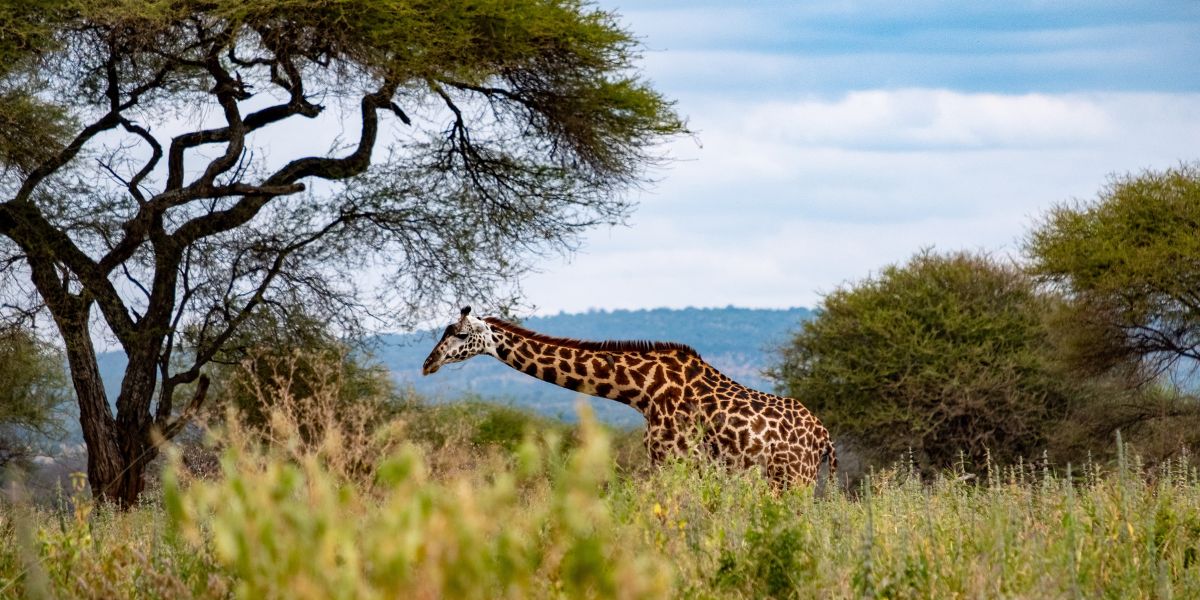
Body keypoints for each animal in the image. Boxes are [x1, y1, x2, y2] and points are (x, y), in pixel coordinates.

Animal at [421, 307, 836, 488]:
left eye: (460, 335)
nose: (428, 363)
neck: (642, 391)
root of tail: (824, 437)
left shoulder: (672, 459)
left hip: (793, 479)